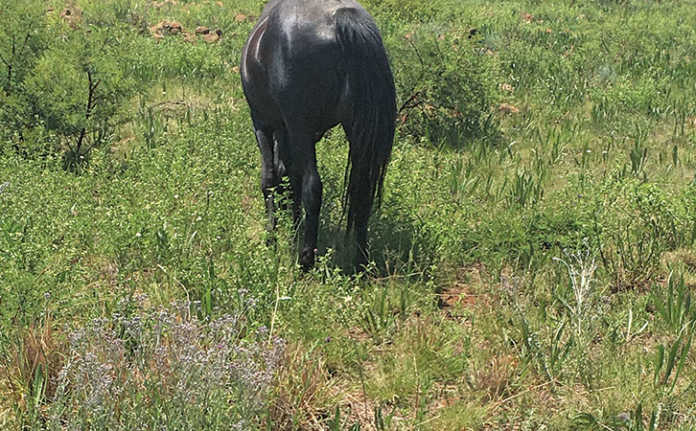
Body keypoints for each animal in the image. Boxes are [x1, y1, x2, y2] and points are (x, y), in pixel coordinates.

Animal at [240, 0, 396, 270]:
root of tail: (342, 19)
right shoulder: (296, 132)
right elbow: (290, 174)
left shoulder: (263, 123)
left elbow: (270, 179)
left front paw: (271, 239)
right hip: (355, 132)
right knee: (362, 192)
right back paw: (360, 261)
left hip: (299, 126)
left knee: (313, 186)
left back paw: (306, 259)